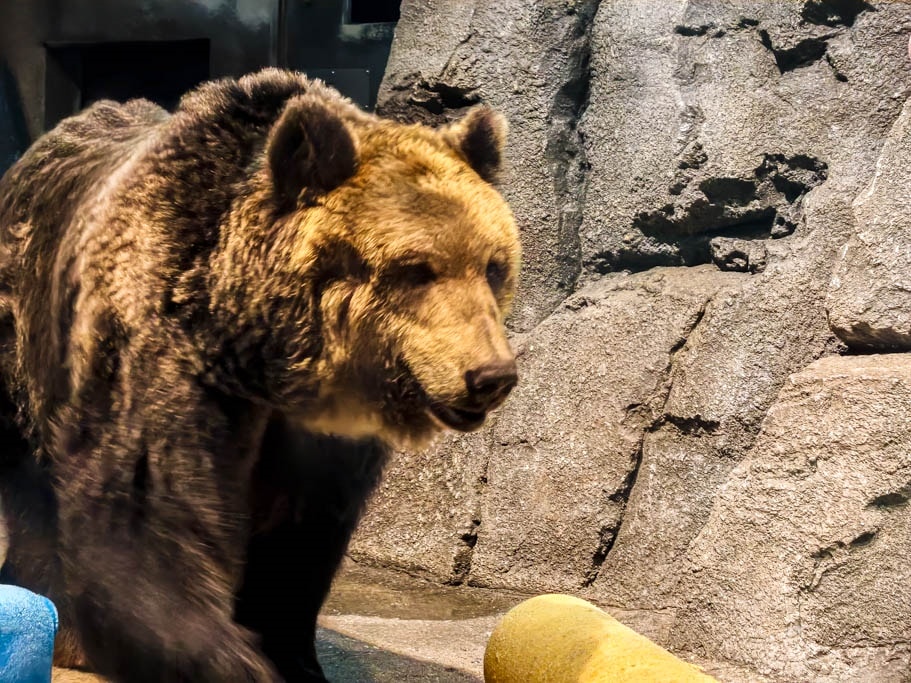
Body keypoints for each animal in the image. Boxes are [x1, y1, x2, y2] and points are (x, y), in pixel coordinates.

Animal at [0, 68, 520, 682]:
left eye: (493, 265)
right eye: (416, 268)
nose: (490, 375)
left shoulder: (319, 444)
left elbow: (295, 549)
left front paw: (289, 654)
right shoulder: (164, 355)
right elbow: (145, 520)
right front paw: (227, 659)